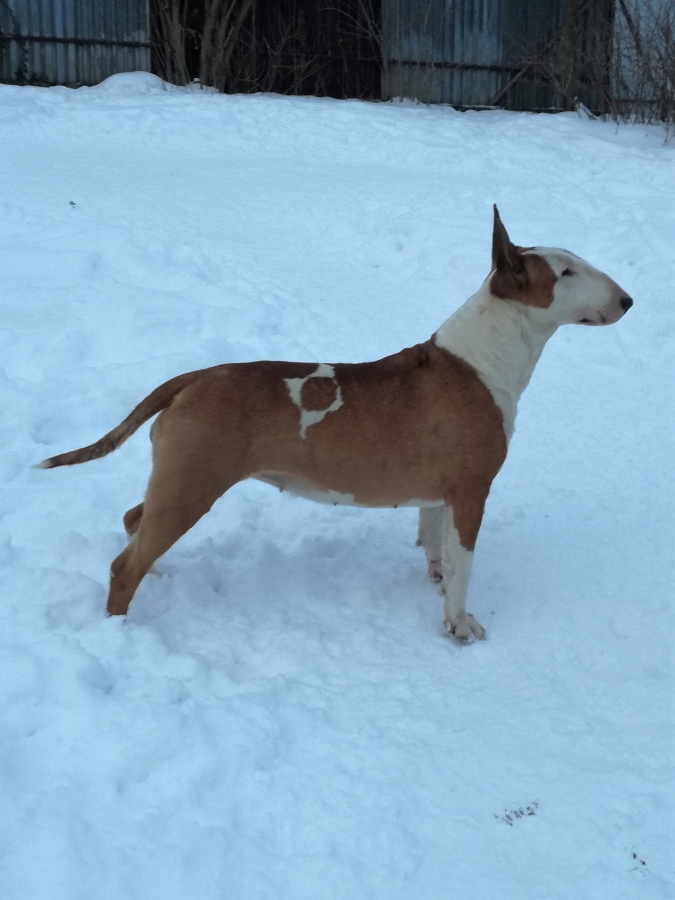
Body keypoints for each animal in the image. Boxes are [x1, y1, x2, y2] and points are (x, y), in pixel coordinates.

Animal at [38, 207, 632, 639]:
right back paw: (121, 631)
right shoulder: (471, 491)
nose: (628, 300)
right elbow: (464, 566)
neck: (484, 356)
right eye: (565, 272)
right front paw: (460, 625)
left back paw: (157, 570)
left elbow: (436, 545)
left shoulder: (441, 493)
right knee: (123, 565)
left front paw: (437, 584)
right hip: (194, 481)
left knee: (135, 521)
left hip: (178, 481)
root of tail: (194, 378)